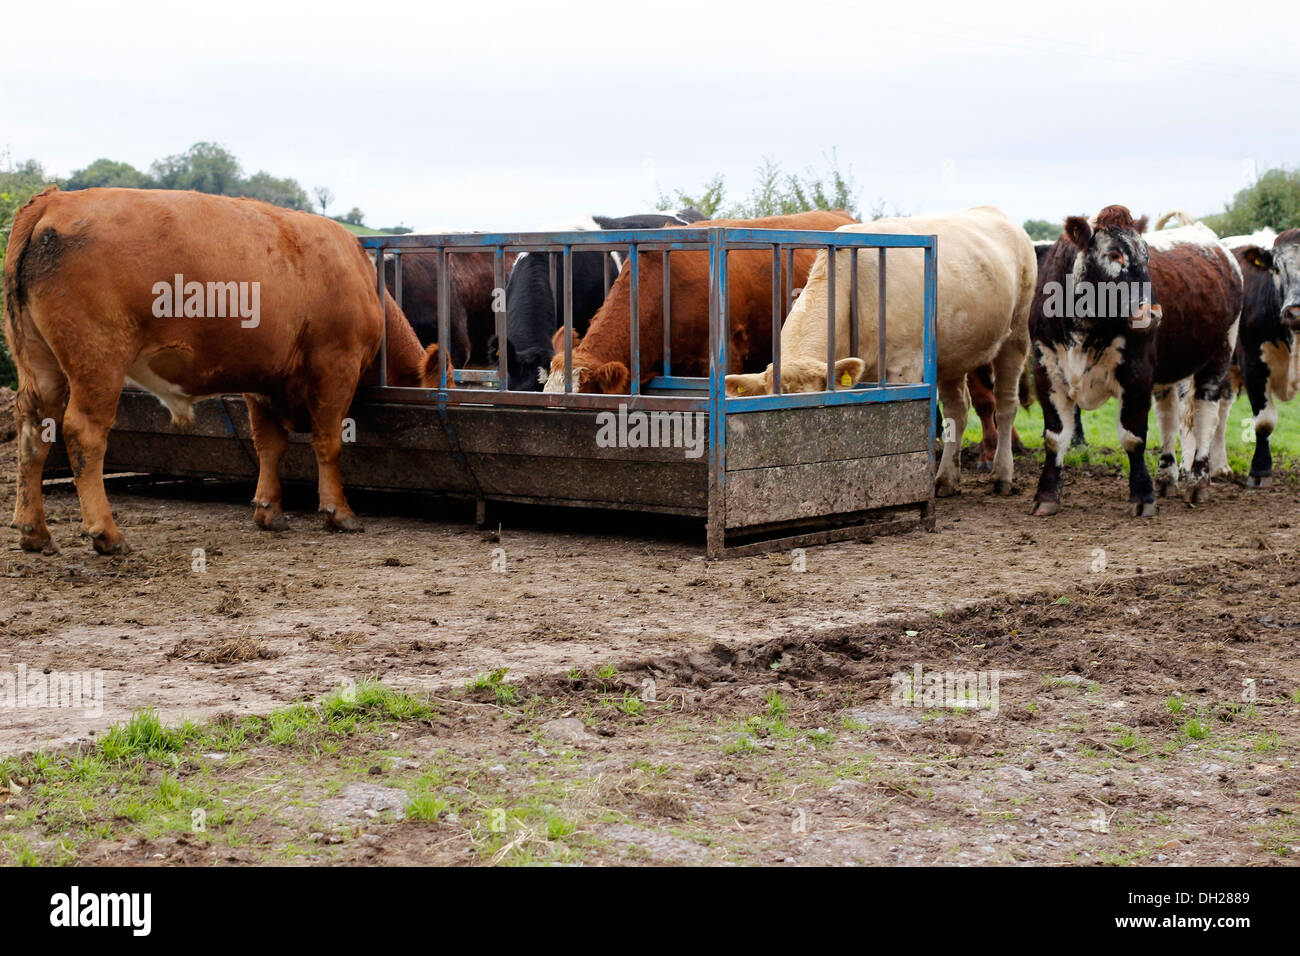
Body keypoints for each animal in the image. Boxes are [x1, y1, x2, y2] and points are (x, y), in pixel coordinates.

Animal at [3, 186, 436, 555]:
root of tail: (54, 200)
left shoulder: (264, 379)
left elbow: (269, 444)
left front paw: (269, 511)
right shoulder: (336, 363)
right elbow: (328, 442)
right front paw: (339, 512)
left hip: (39, 364)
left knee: (33, 432)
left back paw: (34, 532)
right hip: (98, 360)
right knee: (84, 433)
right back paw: (106, 533)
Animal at [724, 206, 1035, 499]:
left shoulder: (904, 368)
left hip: (1016, 336)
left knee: (1006, 405)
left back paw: (1002, 475)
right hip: (951, 353)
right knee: (957, 409)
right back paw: (947, 478)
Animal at [1029, 205, 1241, 517]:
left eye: (1147, 256)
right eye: (1114, 254)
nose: (1151, 313)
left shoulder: (1136, 375)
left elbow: (1133, 437)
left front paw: (1142, 496)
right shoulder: (1047, 371)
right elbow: (1054, 437)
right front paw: (1046, 496)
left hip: (1218, 357)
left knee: (1205, 415)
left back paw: (1198, 483)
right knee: (1168, 415)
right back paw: (1166, 478)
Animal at [1225, 228, 1299, 487]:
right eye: (1276, 268)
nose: (1295, 312)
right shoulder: (1253, 365)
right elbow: (1265, 422)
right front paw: (1260, 470)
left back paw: (1219, 467)